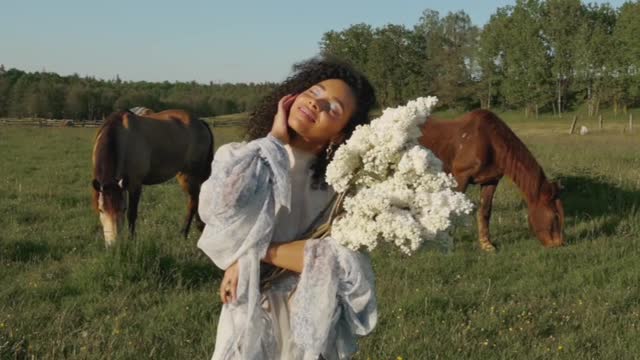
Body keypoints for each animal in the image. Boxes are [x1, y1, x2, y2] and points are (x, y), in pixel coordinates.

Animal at [91, 108, 215, 246]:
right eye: (101, 210)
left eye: (123, 209)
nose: (114, 244)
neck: (121, 138)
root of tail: (200, 122)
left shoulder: (135, 184)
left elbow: (132, 214)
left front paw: (132, 240)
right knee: (197, 198)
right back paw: (200, 227)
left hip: (190, 175)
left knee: (193, 201)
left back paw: (183, 233)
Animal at [422, 108, 564, 252]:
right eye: (555, 216)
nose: (559, 245)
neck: (488, 142)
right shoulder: (461, 177)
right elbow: (454, 211)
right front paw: (449, 245)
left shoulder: (490, 180)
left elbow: (485, 211)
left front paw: (487, 245)